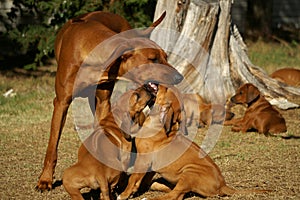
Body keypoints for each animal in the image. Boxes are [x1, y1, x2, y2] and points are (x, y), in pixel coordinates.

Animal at [37, 11, 183, 191]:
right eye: (153, 59)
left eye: (165, 57)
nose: (179, 77)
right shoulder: (61, 103)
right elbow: (52, 145)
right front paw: (45, 179)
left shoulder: (103, 101)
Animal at [117, 85, 270, 200]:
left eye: (165, 89)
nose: (154, 84)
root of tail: (223, 185)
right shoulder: (150, 166)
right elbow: (143, 179)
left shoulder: (143, 160)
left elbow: (133, 179)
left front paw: (124, 194)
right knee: (173, 191)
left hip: (189, 173)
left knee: (176, 195)